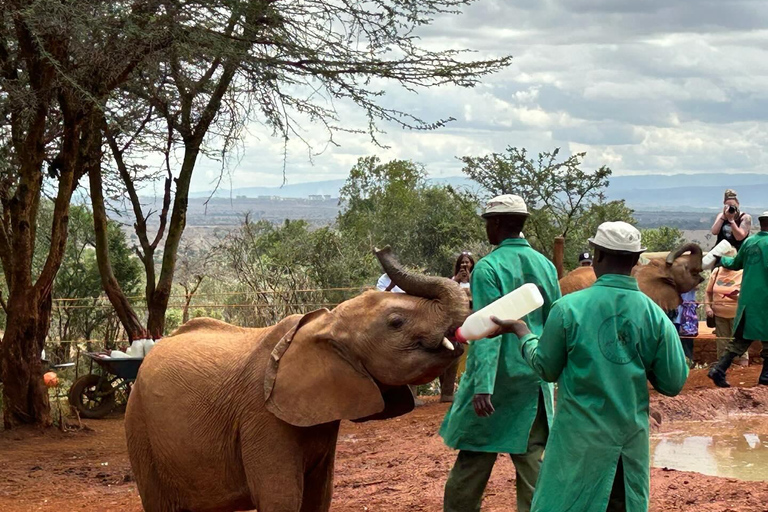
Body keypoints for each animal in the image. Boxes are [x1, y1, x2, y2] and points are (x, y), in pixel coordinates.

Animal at [126, 246, 468, 510]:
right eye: (396, 322)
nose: (380, 247)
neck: (325, 324)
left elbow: (320, 497)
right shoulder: (261, 417)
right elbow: (282, 500)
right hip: (140, 428)